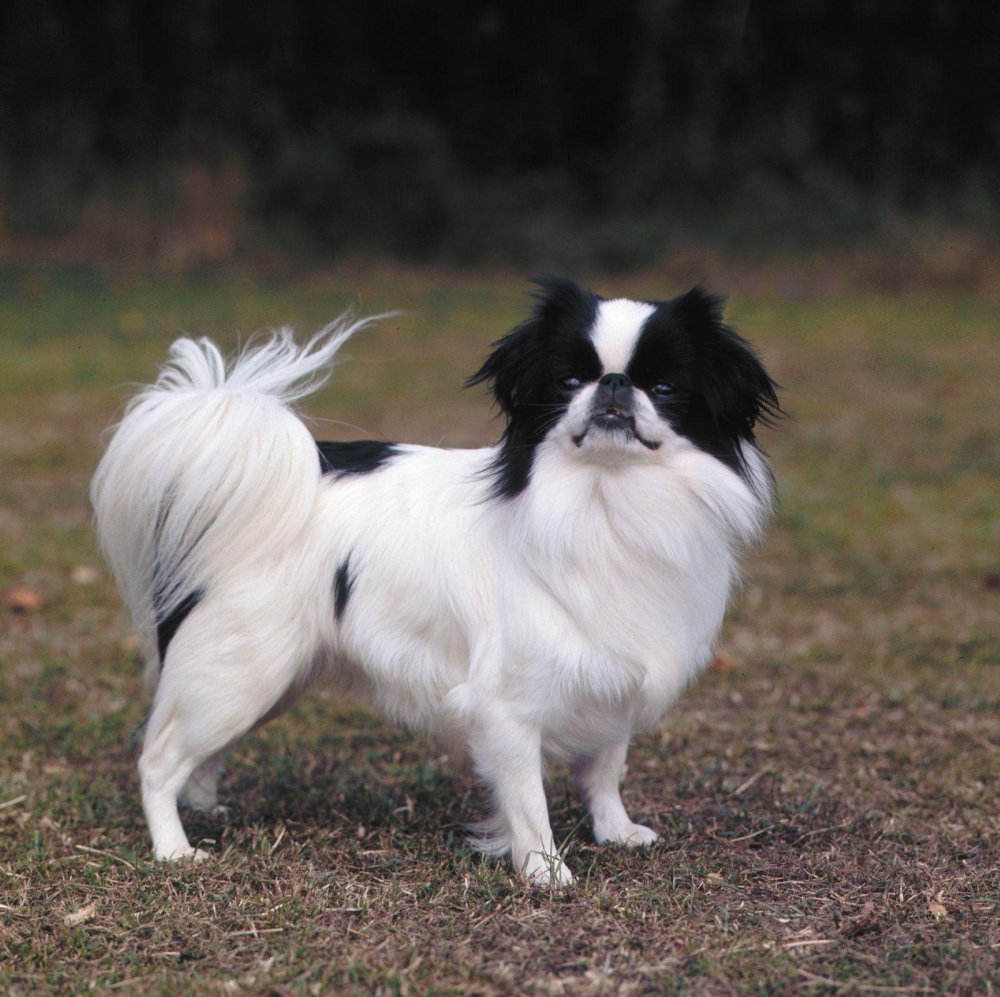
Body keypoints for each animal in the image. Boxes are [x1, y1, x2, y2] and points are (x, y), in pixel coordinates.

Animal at [92, 276, 780, 884]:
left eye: (664, 387)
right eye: (568, 382)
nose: (613, 384)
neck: (607, 499)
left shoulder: (612, 675)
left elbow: (606, 766)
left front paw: (615, 832)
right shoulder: (506, 708)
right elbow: (528, 801)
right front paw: (545, 871)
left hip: (267, 679)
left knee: (197, 755)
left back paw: (205, 808)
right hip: (239, 672)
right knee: (157, 760)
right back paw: (174, 848)